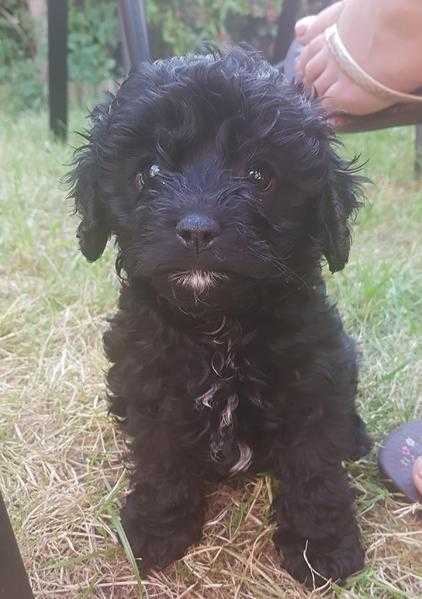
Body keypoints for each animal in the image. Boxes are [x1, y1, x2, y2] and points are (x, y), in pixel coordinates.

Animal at [69, 49, 372, 588]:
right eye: (149, 171)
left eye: (259, 175)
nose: (196, 229)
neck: (219, 330)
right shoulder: (150, 386)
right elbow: (160, 461)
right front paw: (155, 531)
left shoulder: (313, 382)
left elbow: (314, 468)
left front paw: (322, 548)